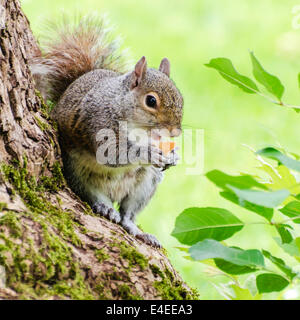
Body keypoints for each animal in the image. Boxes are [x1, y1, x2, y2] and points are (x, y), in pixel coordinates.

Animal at [31, 14, 184, 248]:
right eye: (151, 101)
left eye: (181, 99)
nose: (175, 132)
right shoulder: (97, 121)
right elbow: (114, 154)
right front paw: (149, 152)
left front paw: (174, 155)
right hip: (78, 173)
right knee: (93, 194)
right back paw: (105, 207)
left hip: (145, 184)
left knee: (128, 214)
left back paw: (137, 230)